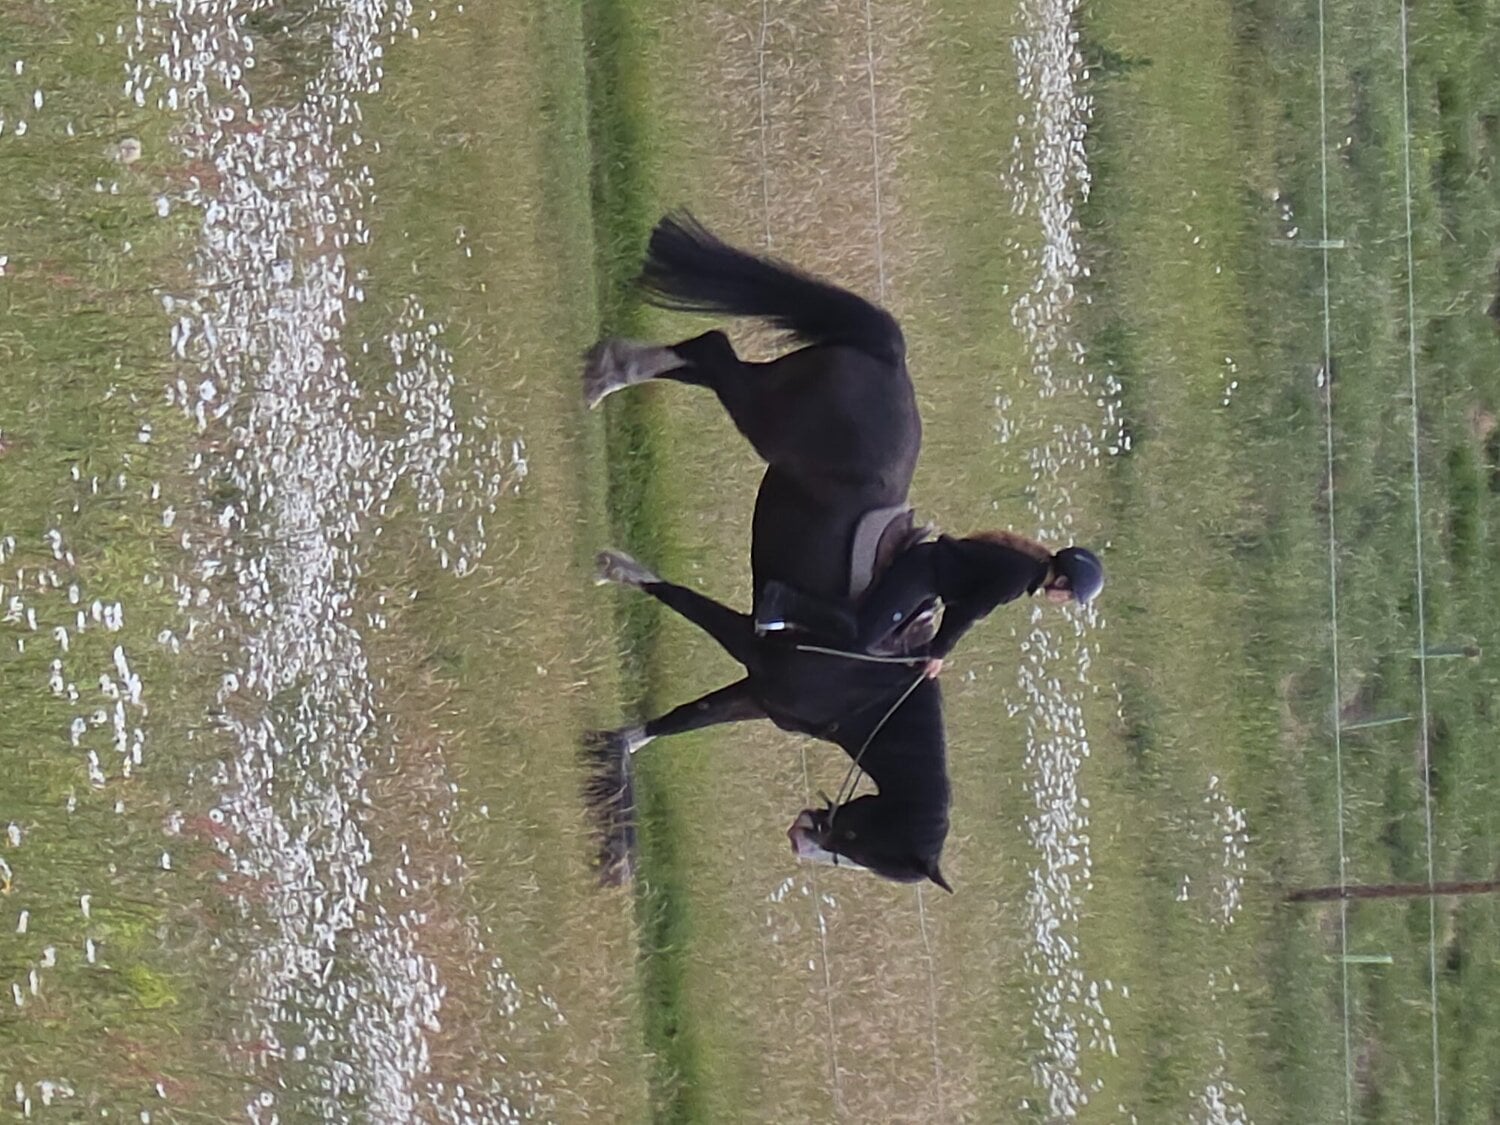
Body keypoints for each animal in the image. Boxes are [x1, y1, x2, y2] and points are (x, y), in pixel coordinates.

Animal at [582, 211, 952, 892]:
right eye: (867, 844)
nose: (802, 840)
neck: (864, 689)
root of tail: (891, 355)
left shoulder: (757, 694)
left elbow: (680, 720)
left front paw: (616, 750)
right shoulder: (752, 645)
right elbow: (679, 600)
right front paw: (615, 567)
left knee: (707, 358)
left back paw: (610, 369)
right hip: (765, 417)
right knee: (712, 350)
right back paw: (606, 372)